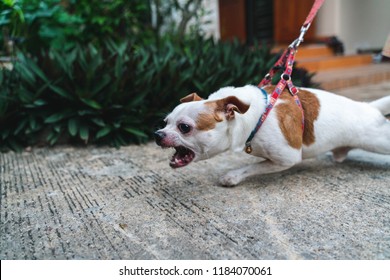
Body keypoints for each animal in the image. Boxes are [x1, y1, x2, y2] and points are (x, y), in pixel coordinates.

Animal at [155, 85, 390, 186]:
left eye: (184, 127)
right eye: (165, 122)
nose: (157, 134)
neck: (255, 117)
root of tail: (369, 107)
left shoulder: (287, 158)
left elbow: (253, 167)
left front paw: (232, 176)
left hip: (378, 141)